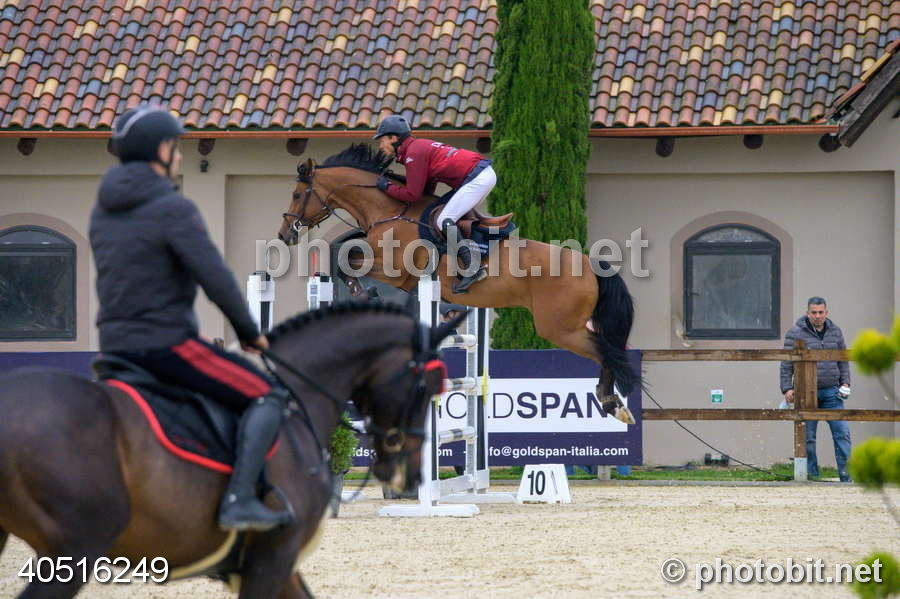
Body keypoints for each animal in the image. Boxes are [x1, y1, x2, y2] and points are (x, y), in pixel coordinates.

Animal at [277, 144, 638, 423]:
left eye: (296, 194)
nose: (285, 235)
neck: (390, 211)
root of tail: (590, 265)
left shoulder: (395, 270)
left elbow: (347, 261)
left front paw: (362, 292)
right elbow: (344, 254)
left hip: (559, 328)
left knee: (606, 351)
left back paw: (612, 403)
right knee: (608, 350)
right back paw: (613, 403)